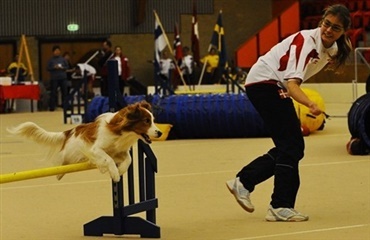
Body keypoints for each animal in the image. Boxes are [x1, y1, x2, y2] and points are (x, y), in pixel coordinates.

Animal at [7, 101, 162, 182]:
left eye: (153, 120)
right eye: (146, 121)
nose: (160, 133)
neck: (123, 133)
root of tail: (70, 131)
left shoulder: (119, 151)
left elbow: (128, 159)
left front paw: (121, 170)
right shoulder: (96, 149)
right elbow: (108, 159)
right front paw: (114, 173)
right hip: (70, 153)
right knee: (61, 161)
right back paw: (59, 173)